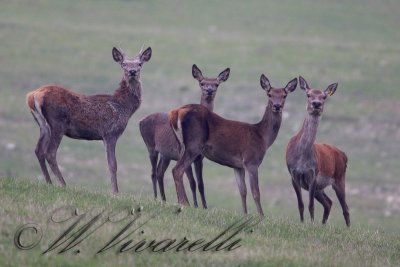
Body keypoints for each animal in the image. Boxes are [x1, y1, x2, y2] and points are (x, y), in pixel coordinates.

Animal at [26, 46, 152, 195]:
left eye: (139, 64)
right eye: (124, 64)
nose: (132, 71)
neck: (124, 107)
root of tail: (33, 95)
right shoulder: (110, 133)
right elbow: (112, 164)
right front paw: (115, 193)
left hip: (43, 125)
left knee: (38, 150)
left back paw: (49, 183)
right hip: (57, 123)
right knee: (50, 153)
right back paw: (63, 184)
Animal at [139, 63, 230, 208]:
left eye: (216, 84)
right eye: (202, 82)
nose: (209, 90)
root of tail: (140, 121)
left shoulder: (199, 158)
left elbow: (201, 184)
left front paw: (204, 207)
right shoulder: (184, 153)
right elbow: (192, 182)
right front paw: (195, 205)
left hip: (166, 155)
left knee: (159, 172)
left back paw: (164, 199)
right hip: (151, 147)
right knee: (153, 172)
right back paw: (156, 198)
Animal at [168, 74, 296, 217]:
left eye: (284, 95)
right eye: (269, 94)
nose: (277, 106)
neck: (262, 137)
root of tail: (176, 112)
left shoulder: (237, 166)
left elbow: (243, 191)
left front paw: (245, 215)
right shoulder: (251, 161)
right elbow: (256, 193)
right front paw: (261, 217)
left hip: (182, 145)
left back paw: (183, 202)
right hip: (194, 144)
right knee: (177, 170)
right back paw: (184, 203)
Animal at [284, 76, 350, 227]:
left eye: (324, 97)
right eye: (308, 94)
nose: (316, 104)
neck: (301, 158)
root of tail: (344, 155)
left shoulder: (313, 173)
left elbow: (311, 205)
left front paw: (311, 224)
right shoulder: (293, 174)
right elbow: (301, 204)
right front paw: (303, 223)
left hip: (339, 178)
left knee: (345, 208)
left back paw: (347, 228)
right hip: (320, 187)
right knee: (329, 203)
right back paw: (323, 225)